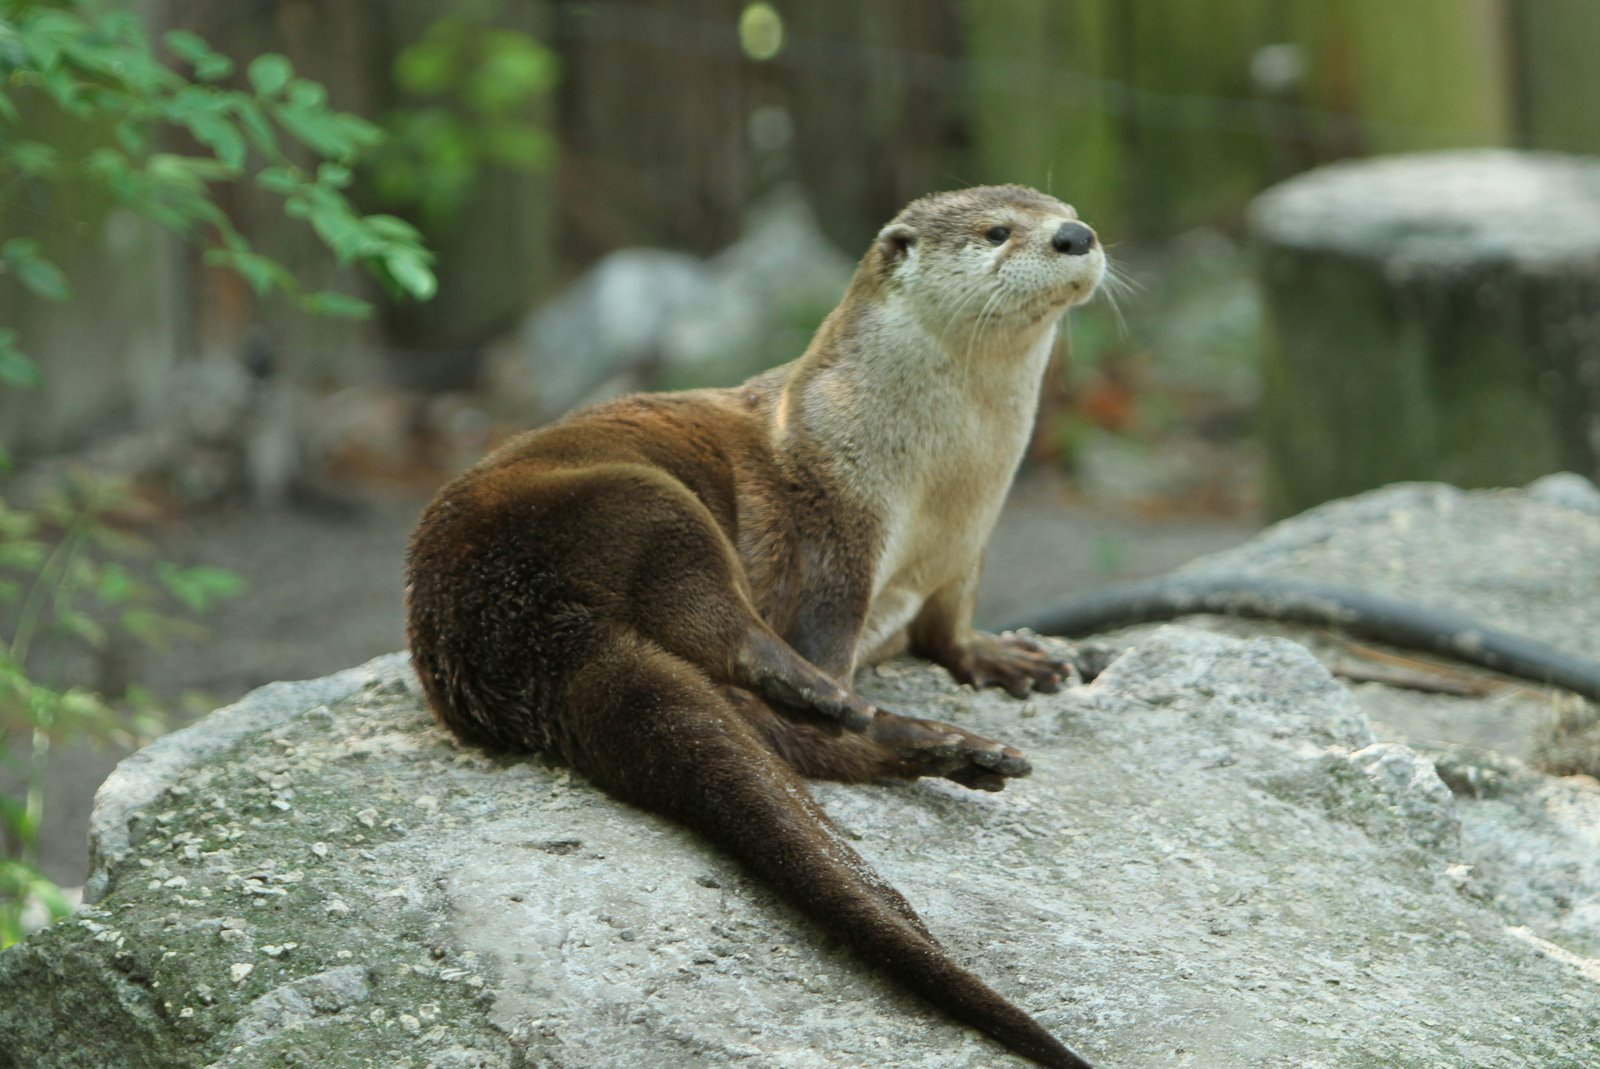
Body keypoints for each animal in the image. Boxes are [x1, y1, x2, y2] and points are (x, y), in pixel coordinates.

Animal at [406, 185, 1105, 1069]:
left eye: (1064, 208)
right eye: (998, 231)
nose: (1076, 234)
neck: (945, 483)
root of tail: (514, 639)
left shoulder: (966, 550)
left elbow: (950, 630)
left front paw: (1007, 656)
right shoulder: (833, 533)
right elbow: (826, 622)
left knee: (791, 734)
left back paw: (957, 751)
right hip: (637, 500)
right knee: (732, 637)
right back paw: (851, 704)